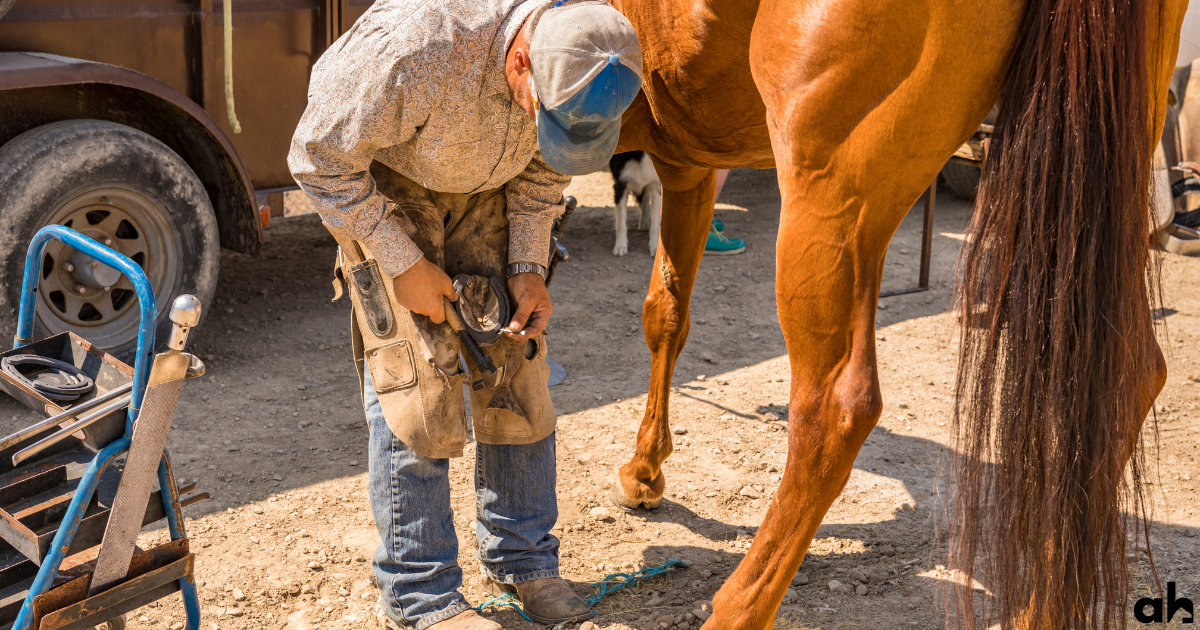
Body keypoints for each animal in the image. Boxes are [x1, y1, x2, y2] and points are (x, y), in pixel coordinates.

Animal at [607, 0, 1189, 627]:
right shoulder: (687, 165)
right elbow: (666, 312)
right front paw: (645, 468)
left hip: (828, 192)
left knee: (835, 410)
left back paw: (737, 606)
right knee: (1129, 376)